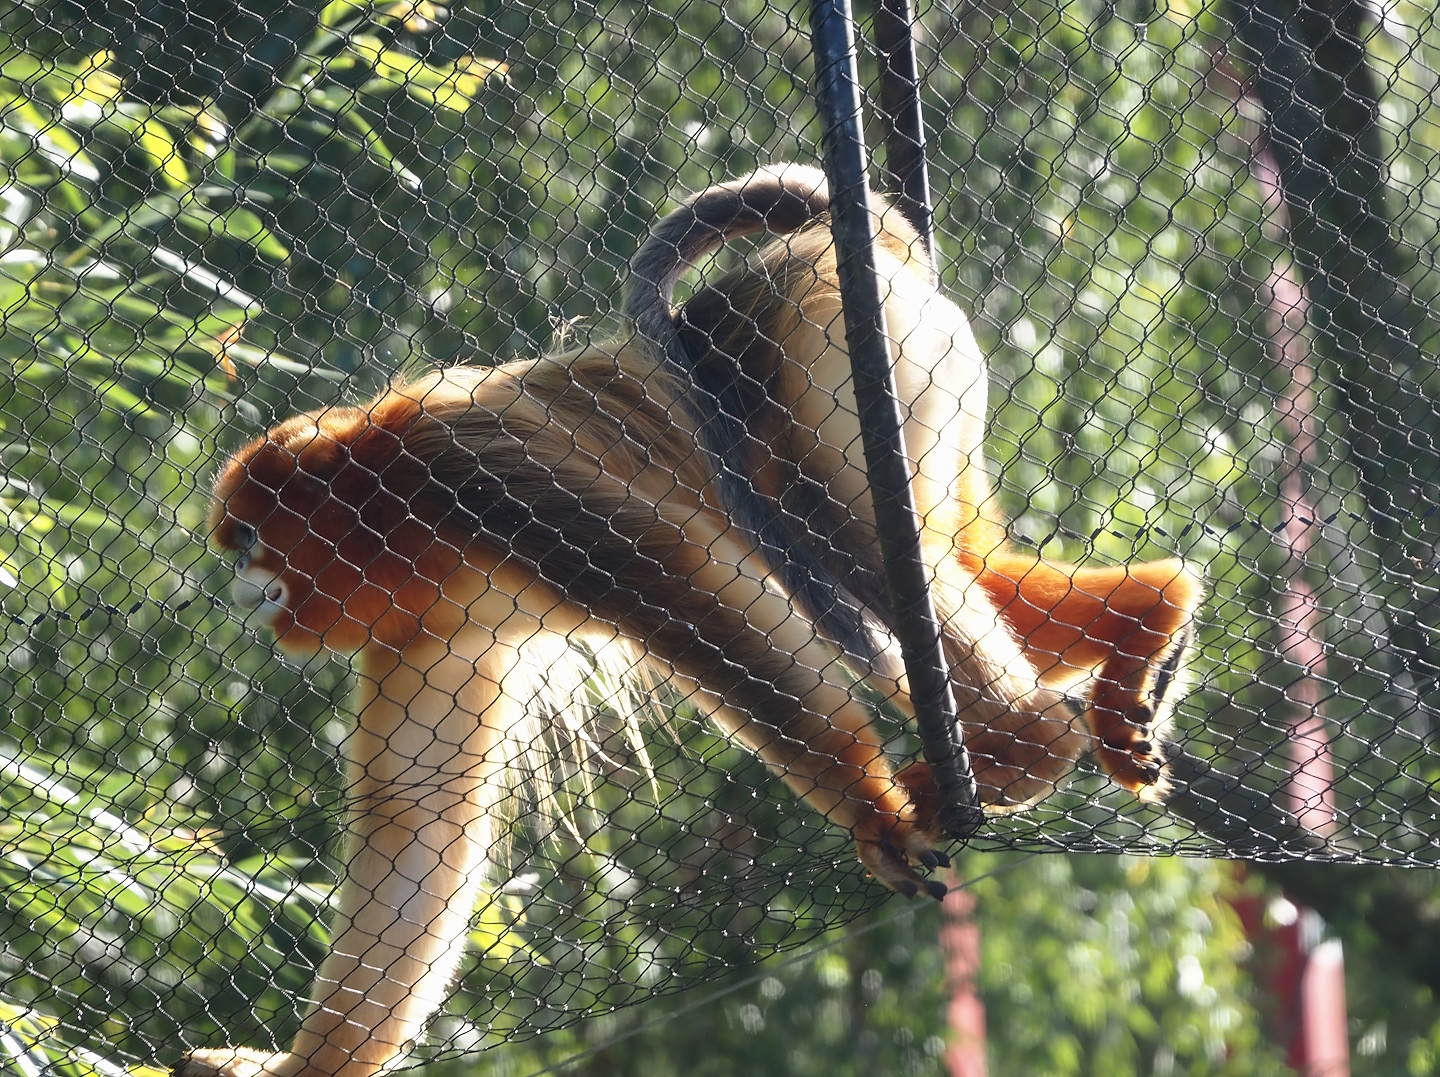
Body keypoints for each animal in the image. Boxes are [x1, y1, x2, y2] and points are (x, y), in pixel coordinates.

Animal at [183, 164, 1200, 1077]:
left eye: (250, 543)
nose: (239, 588)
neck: (396, 509)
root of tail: (825, 256)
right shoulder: (423, 632)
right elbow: (416, 820)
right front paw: (299, 1069)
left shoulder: (472, 466)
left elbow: (694, 597)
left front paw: (870, 811)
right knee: (953, 556)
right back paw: (1148, 612)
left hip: (840, 343)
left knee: (846, 533)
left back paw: (1028, 739)